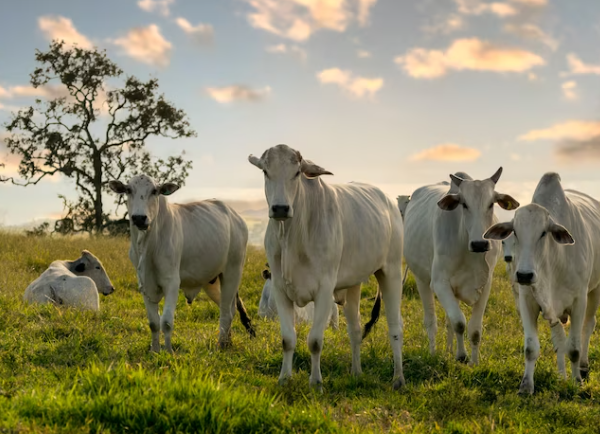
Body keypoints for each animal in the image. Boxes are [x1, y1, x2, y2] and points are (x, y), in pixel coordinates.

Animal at [109, 175, 254, 354]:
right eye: (128, 190)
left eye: (154, 191)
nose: (139, 218)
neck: (148, 245)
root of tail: (235, 216)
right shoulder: (144, 284)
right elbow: (153, 323)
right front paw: (154, 351)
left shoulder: (172, 282)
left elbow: (166, 322)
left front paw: (169, 352)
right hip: (211, 280)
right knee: (228, 307)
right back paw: (228, 342)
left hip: (232, 272)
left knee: (227, 311)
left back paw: (221, 345)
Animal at [246, 145, 406, 390]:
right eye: (265, 171)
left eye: (297, 173)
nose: (280, 208)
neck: (292, 235)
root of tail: (388, 201)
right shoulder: (281, 290)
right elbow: (287, 339)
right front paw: (284, 378)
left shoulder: (324, 290)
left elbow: (314, 341)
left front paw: (316, 382)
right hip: (353, 284)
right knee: (355, 329)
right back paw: (356, 372)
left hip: (391, 271)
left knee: (395, 327)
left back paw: (398, 378)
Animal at [404, 168, 520, 364]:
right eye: (464, 204)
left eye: (491, 204)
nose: (480, 244)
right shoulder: (440, 283)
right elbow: (459, 322)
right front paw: (461, 356)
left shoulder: (485, 285)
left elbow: (474, 329)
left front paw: (474, 362)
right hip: (421, 279)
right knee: (431, 321)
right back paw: (434, 353)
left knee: (448, 322)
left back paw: (449, 350)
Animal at [482, 173, 600, 394]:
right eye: (515, 232)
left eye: (544, 233)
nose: (524, 275)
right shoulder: (527, 301)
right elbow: (532, 348)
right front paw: (526, 386)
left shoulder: (579, 301)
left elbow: (574, 347)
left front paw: (577, 381)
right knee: (559, 340)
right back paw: (562, 376)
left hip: (595, 290)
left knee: (588, 326)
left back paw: (583, 368)